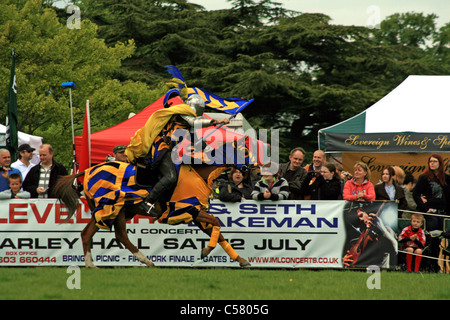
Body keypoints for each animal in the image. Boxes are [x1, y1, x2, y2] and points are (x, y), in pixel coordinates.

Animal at [54, 149, 251, 268]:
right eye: (245, 152)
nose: (253, 171)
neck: (197, 174)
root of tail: (87, 171)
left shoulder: (195, 212)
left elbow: (217, 231)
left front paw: (240, 259)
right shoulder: (188, 209)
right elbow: (216, 222)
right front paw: (206, 250)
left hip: (111, 212)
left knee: (88, 234)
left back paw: (91, 264)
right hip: (113, 208)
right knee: (121, 235)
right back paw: (146, 260)